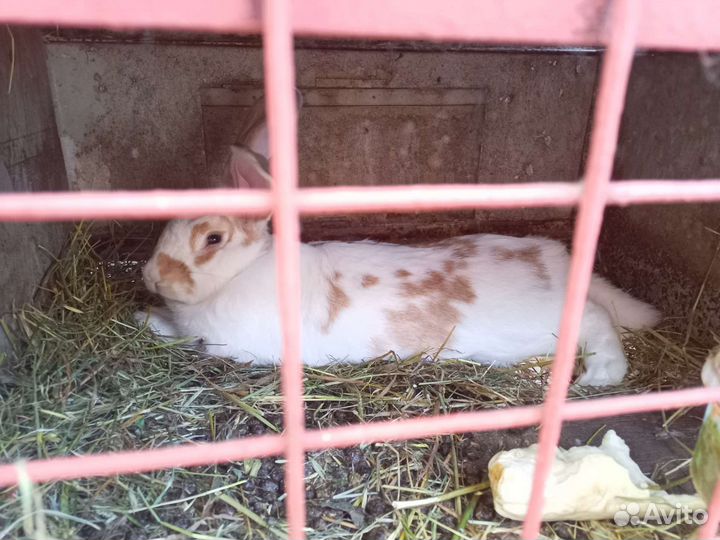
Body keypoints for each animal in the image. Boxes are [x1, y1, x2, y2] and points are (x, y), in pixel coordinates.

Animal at [136, 98, 660, 387]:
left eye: (213, 238)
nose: (151, 277)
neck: (241, 274)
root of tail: (557, 259)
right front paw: (145, 315)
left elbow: (185, 338)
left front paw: (147, 319)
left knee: (596, 320)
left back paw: (600, 376)